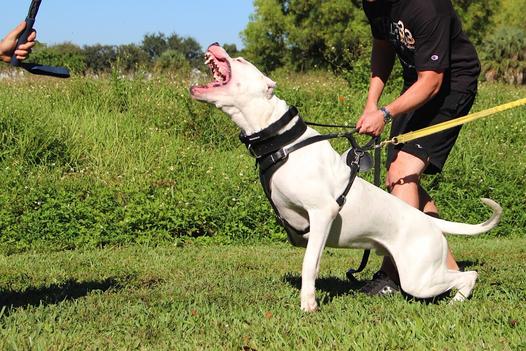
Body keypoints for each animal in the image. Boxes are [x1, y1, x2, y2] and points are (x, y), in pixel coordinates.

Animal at [191, 43, 504, 310]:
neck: (281, 140)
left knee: (469, 275)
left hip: (419, 278)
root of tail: (429, 222)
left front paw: (308, 304)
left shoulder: (322, 212)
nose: (215, 44)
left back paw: (456, 303)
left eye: (240, 60)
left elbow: (309, 263)